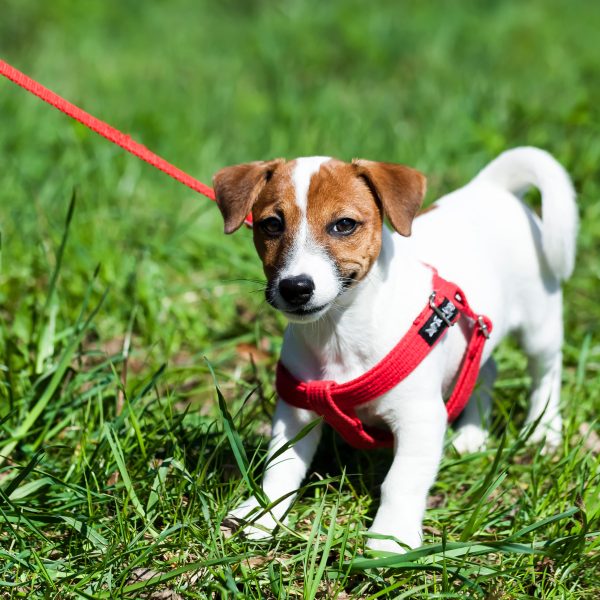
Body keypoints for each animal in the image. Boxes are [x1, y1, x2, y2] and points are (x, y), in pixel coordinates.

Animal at [212, 149, 576, 552]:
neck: (339, 333)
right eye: (272, 225)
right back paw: (472, 433)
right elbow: (281, 468)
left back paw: (544, 430)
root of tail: (493, 187)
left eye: (344, 225)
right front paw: (261, 514)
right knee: (486, 369)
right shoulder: (297, 410)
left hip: (540, 327)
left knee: (546, 374)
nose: (295, 287)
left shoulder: (420, 419)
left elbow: (401, 481)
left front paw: (391, 538)